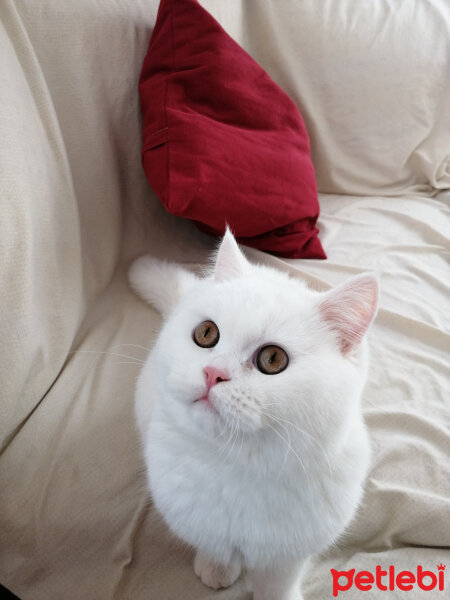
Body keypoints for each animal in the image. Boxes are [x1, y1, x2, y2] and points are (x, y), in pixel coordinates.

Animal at [128, 231, 378, 600]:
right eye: (206, 333)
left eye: (272, 359)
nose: (213, 373)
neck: (238, 464)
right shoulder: (198, 519)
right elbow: (215, 545)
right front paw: (216, 568)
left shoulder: (290, 551)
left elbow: (277, 581)